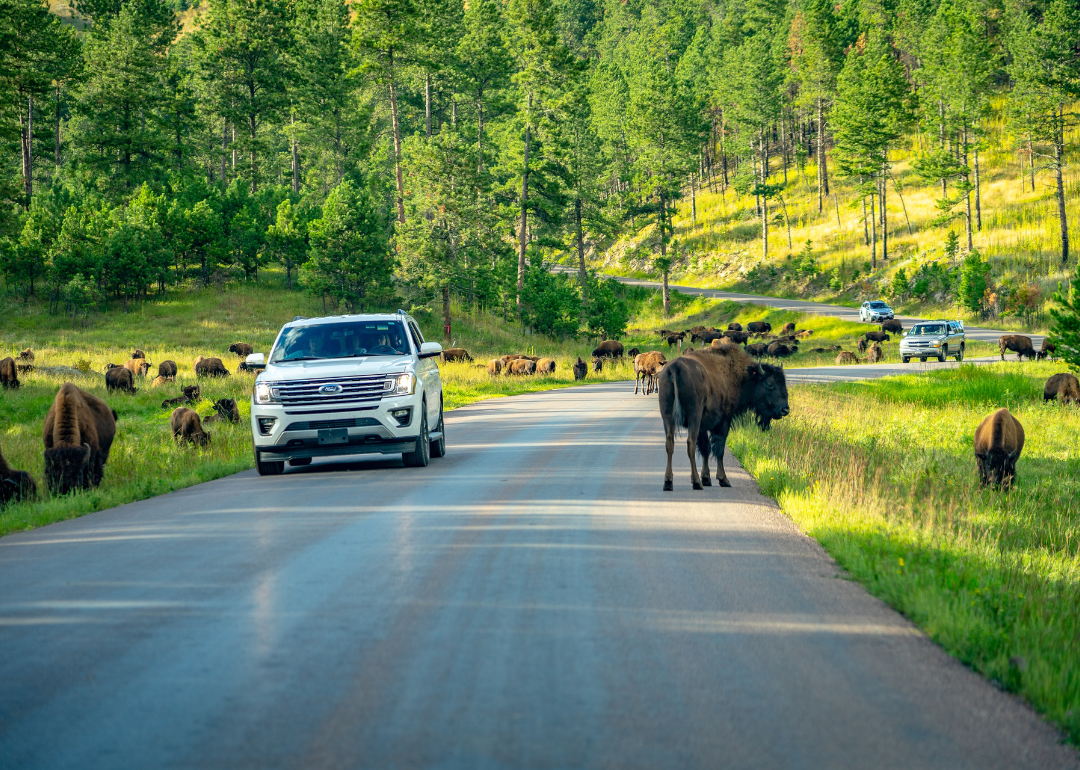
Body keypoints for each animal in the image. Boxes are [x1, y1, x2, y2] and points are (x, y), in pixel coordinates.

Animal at [652, 345, 790, 490]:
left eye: (784, 383)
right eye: (770, 384)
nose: (785, 409)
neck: (741, 376)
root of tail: (675, 367)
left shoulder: (703, 426)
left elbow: (706, 448)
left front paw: (707, 478)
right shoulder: (723, 422)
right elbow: (719, 449)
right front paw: (723, 479)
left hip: (667, 417)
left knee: (670, 444)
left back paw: (668, 482)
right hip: (694, 417)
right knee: (690, 444)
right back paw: (696, 482)